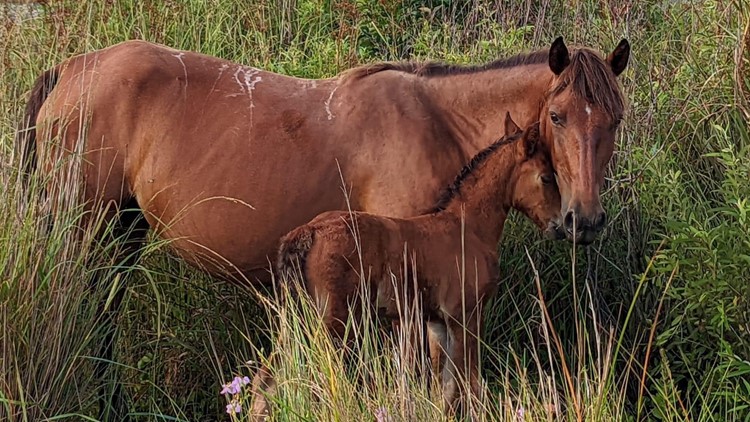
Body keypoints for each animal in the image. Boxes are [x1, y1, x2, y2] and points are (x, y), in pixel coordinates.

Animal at [249, 115, 562, 419]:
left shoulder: (437, 320)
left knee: (267, 380)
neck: (467, 227)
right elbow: (469, 381)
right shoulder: (465, 314)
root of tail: (309, 232)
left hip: (298, 318)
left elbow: (446, 386)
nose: (560, 224)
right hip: (332, 322)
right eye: (547, 177)